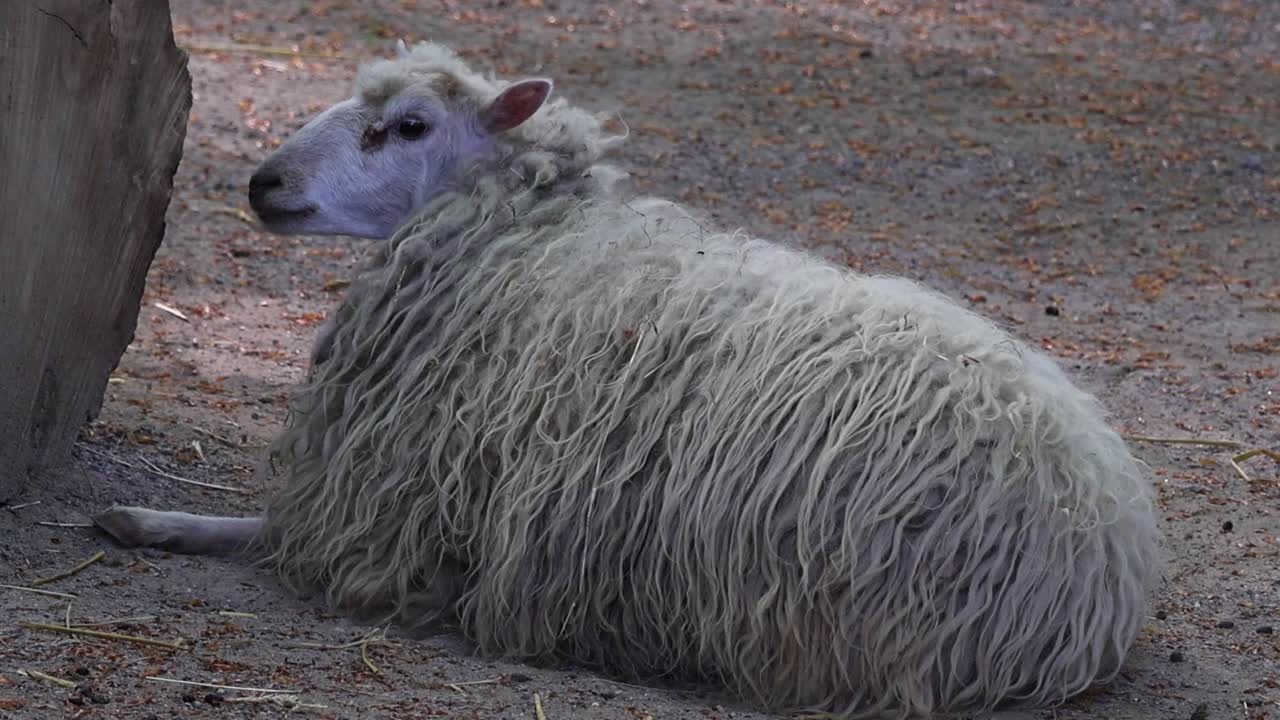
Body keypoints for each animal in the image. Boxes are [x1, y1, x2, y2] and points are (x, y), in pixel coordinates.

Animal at [94, 40, 1162, 719]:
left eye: (407, 125)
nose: (263, 183)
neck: (522, 232)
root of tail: (1101, 569)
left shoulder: (394, 508)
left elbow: (270, 534)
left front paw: (149, 521)